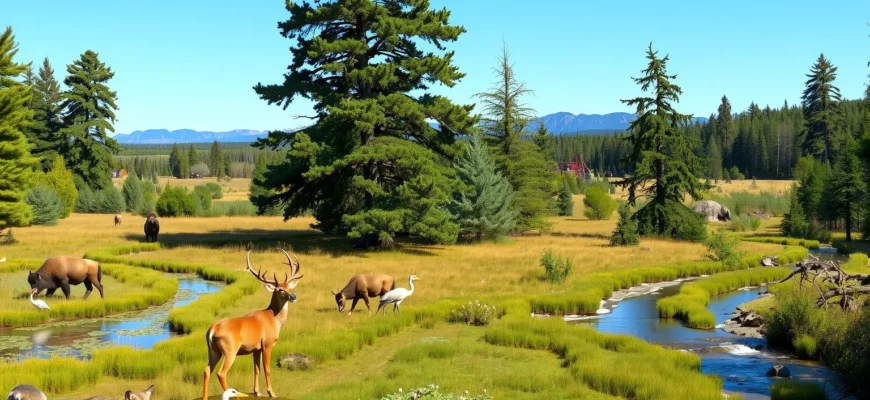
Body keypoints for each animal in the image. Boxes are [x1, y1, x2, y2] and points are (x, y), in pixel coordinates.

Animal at [202, 249, 303, 400]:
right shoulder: (267, 344)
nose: (293, 296)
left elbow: (256, 369)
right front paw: (272, 393)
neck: (274, 319)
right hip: (229, 349)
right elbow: (267, 369)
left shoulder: (256, 348)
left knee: (207, 370)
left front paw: (257, 392)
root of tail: (213, 329)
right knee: (221, 373)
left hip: (213, 350)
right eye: (280, 289)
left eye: (289, 287)